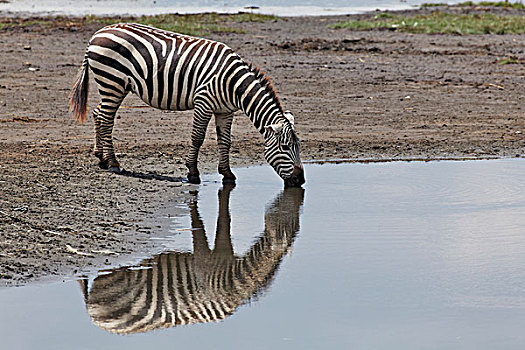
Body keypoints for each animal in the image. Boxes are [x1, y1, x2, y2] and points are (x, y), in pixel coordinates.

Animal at [71, 22, 304, 187]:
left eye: (298, 146)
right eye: (285, 147)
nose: (300, 181)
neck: (234, 85)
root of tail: (97, 34)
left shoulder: (225, 111)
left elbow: (225, 141)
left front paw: (227, 174)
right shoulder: (204, 102)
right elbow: (198, 137)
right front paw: (192, 172)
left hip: (112, 85)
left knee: (98, 113)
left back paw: (100, 157)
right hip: (113, 82)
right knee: (106, 119)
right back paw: (113, 163)